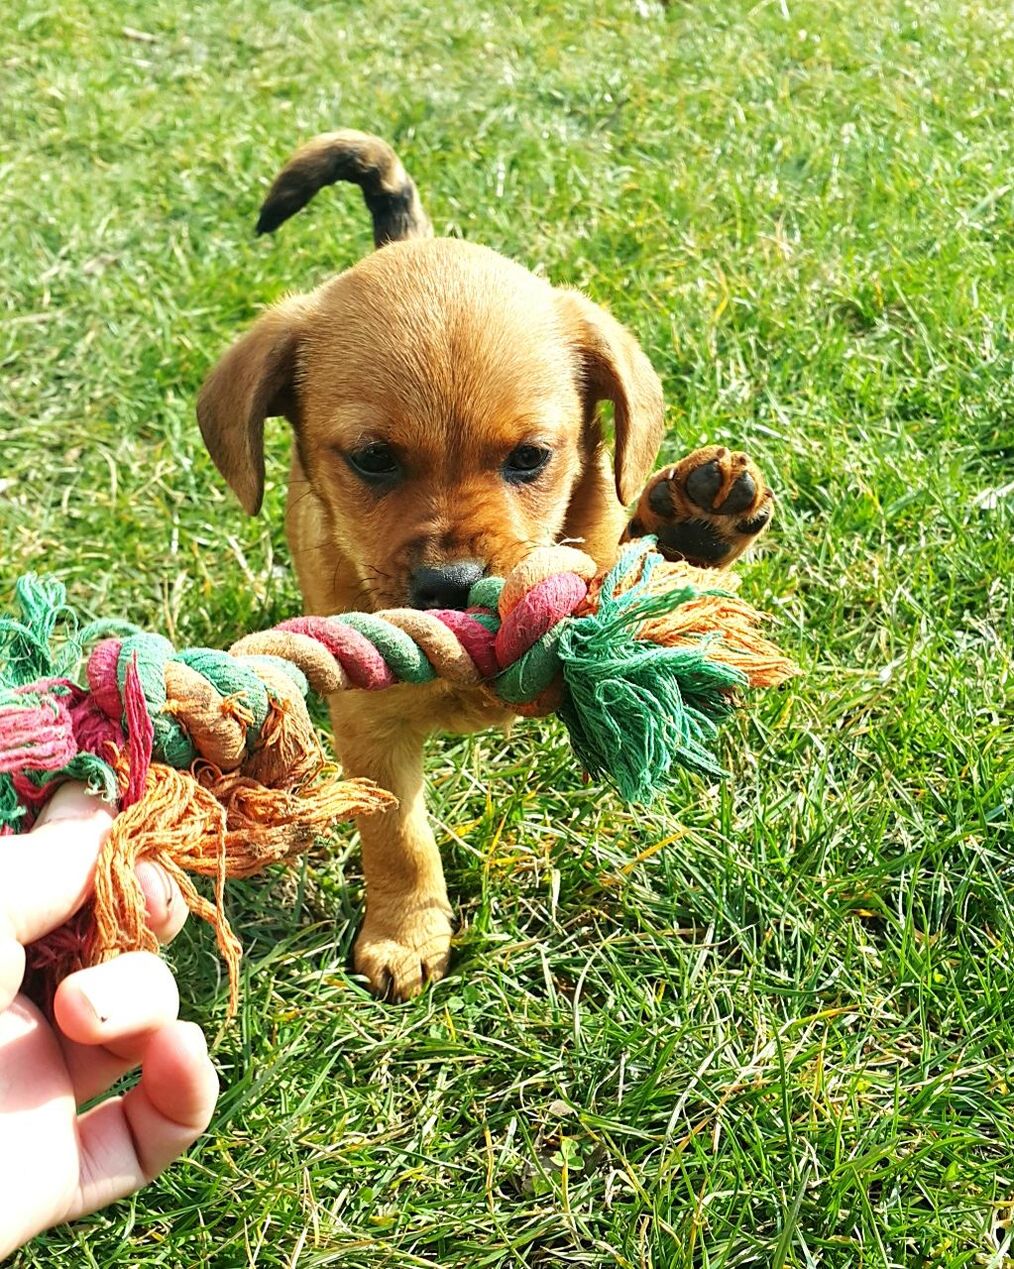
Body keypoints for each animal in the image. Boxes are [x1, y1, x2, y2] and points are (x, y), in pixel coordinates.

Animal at [194, 128, 771, 999]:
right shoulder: (371, 729)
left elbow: (637, 588)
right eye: (372, 460)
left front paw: (696, 528)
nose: (455, 588)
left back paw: (697, 516)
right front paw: (406, 931)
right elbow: (399, 837)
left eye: (530, 457)